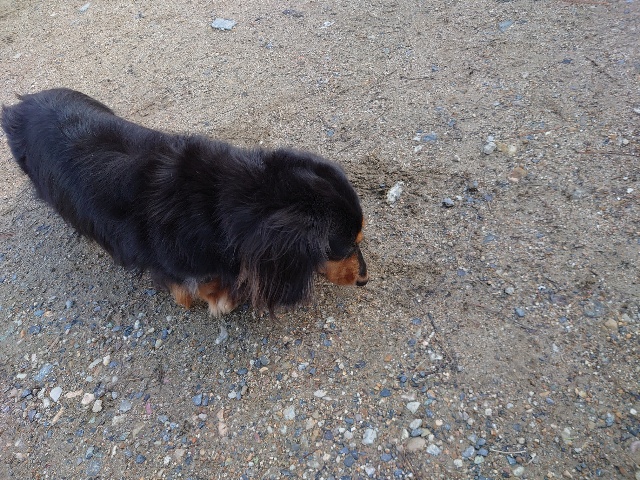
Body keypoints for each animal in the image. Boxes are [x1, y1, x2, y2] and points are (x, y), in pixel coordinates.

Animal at [1, 88, 368, 315]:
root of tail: (21, 105)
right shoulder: (174, 265)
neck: (222, 200)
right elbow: (199, 286)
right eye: (343, 248)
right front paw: (221, 300)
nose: (364, 280)